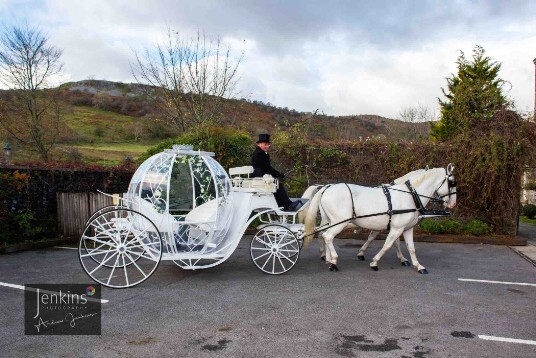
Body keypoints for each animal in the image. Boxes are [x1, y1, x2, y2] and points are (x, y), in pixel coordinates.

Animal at [306, 166, 456, 274]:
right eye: (452, 183)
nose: (452, 204)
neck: (410, 196)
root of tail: (325, 188)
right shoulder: (396, 228)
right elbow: (388, 245)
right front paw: (375, 262)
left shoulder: (406, 228)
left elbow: (411, 248)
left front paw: (418, 266)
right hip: (340, 222)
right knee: (327, 236)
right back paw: (333, 261)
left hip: (329, 221)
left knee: (323, 234)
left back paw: (328, 259)